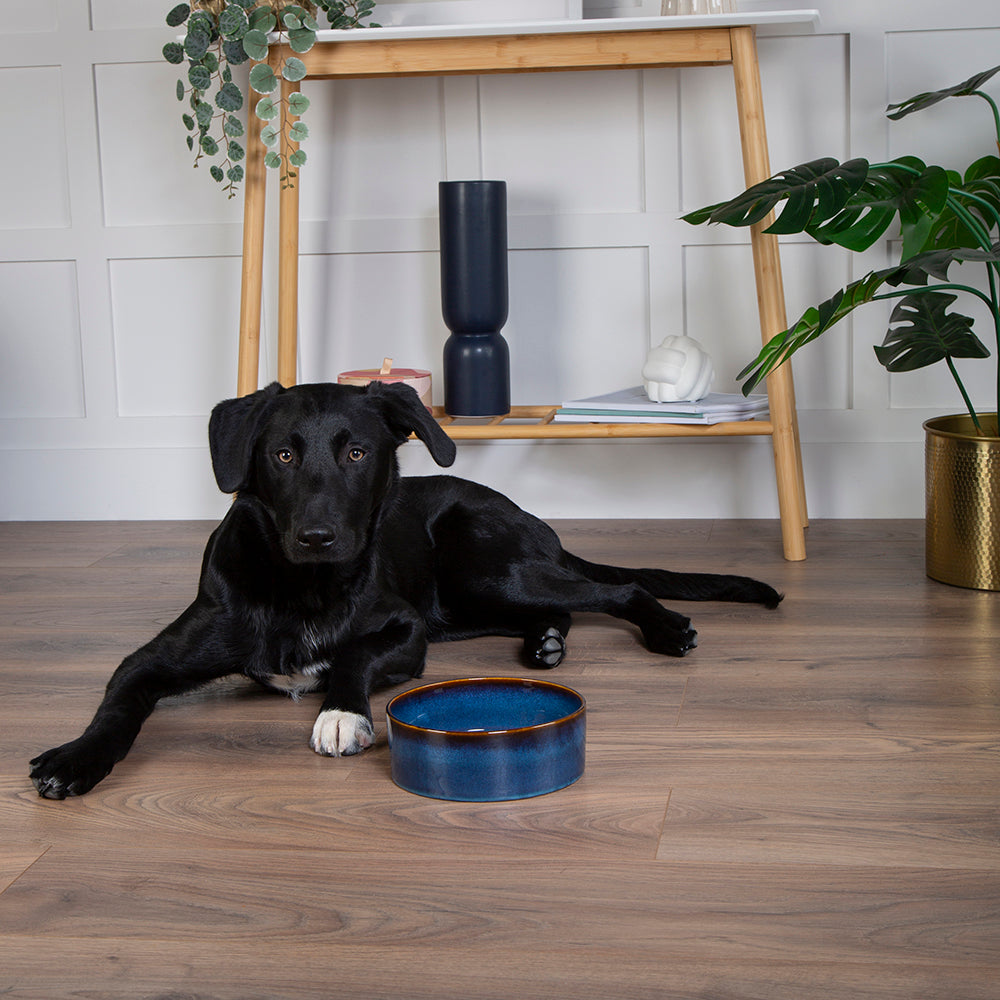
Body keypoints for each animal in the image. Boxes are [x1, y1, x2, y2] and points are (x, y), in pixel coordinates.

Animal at [29, 380, 780, 796]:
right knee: (558, 606)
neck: (306, 586)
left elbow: (355, 655)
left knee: (615, 591)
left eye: (358, 453)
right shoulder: (151, 658)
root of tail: (527, 516)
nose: (318, 537)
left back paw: (662, 629)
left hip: (486, 570)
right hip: (472, 603)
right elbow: (118, 703)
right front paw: (76, 756)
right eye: (282, 454)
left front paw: (341, 711)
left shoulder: (406, 632)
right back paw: (544, 644)